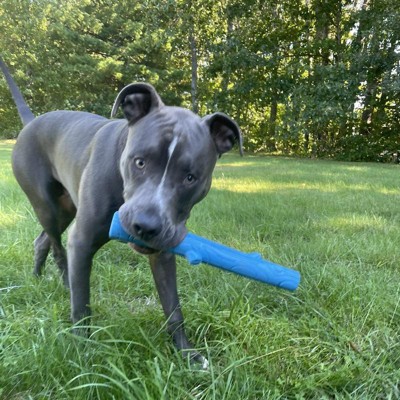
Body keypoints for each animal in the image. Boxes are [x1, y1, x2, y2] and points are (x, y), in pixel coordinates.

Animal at [1, 57, 242, 368]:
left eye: (191, 178)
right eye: (139, 162)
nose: (146, 226)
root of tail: (32, 122)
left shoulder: (163, 252)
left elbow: (173, 307)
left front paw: (187, 353)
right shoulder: (82, 239)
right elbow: (82, 307)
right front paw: (83, 354)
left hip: (66, 207)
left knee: (41, 240)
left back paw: (37, 277)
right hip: (48, 206)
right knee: (57, 248)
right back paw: (63, 283)